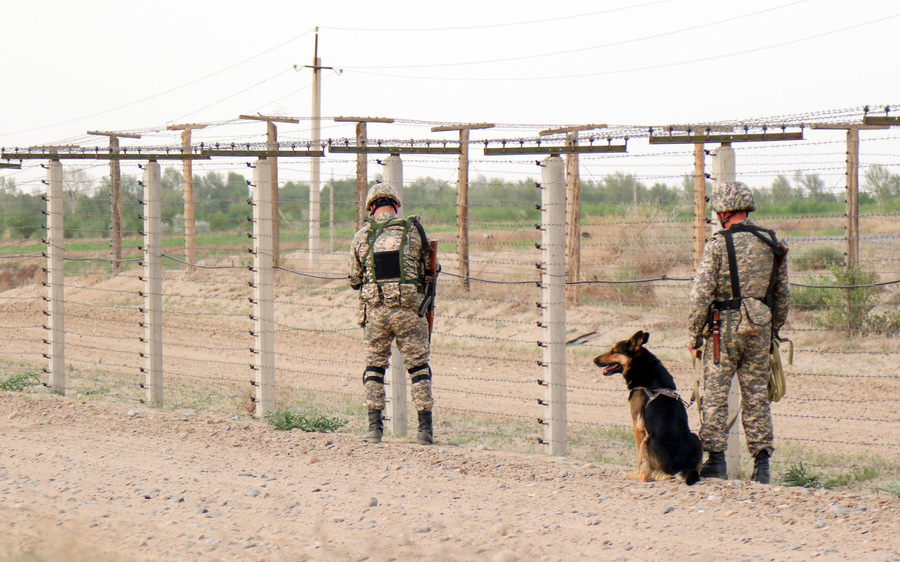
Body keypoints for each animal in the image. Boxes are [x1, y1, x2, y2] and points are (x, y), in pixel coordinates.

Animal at [596, 330, 704, 484]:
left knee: (645, 476)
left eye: (613, 351)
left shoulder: (638, 426)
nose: (594, 360)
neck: (641, 366)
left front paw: (636, 471)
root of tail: (680, 468)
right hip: (695, 437)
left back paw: (632, 475)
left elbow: (639, 459)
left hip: (647, 440)